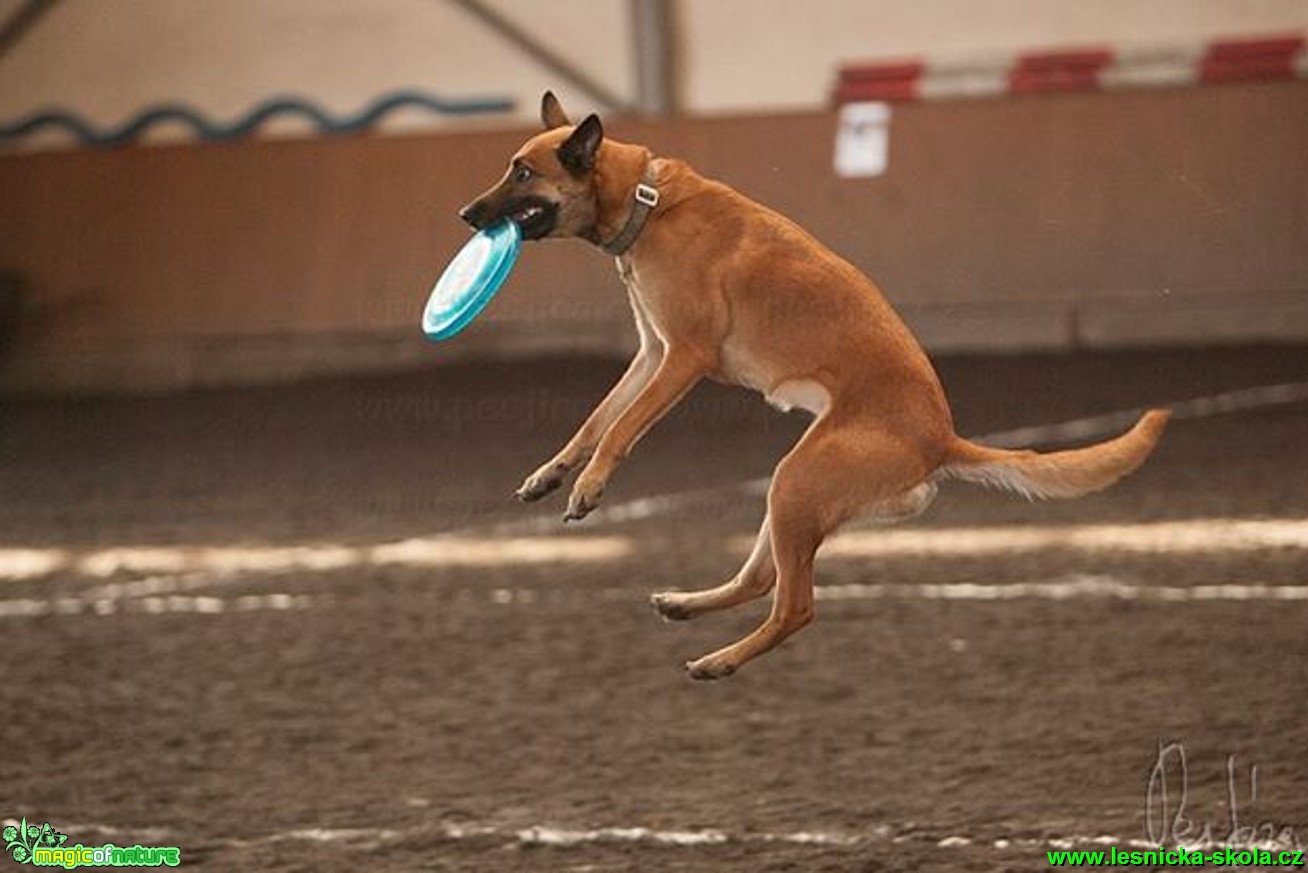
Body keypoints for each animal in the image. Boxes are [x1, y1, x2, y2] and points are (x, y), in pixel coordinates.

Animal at [457, 94, 1166, 680]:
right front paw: (551, 474)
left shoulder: (683, 358)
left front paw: (590, 486)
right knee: (760, 582)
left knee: (795, 606)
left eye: (523, 173)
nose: (466, 213)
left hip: (795, 484)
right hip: (789, 491)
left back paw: (720, 660)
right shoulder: (650, 354)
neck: (646, 202)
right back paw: (690, 607)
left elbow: (623, 430)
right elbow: (596, 420)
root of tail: (943, 439)